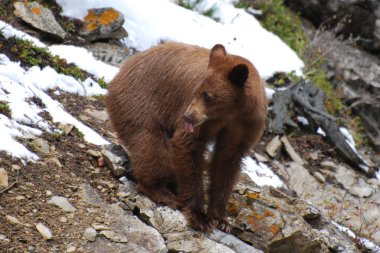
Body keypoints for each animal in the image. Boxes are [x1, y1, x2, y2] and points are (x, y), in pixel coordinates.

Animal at [105, 42, 268, 233]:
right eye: (197, 91)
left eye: (208, 95)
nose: (188, 115)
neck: (232, 112)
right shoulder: (203, 120)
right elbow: (188, 145)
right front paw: (199, 216)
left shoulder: (245, 124)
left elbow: (227, 160)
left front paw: (221, 218)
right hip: (140, 102)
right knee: (151, 146)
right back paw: (161, 191)